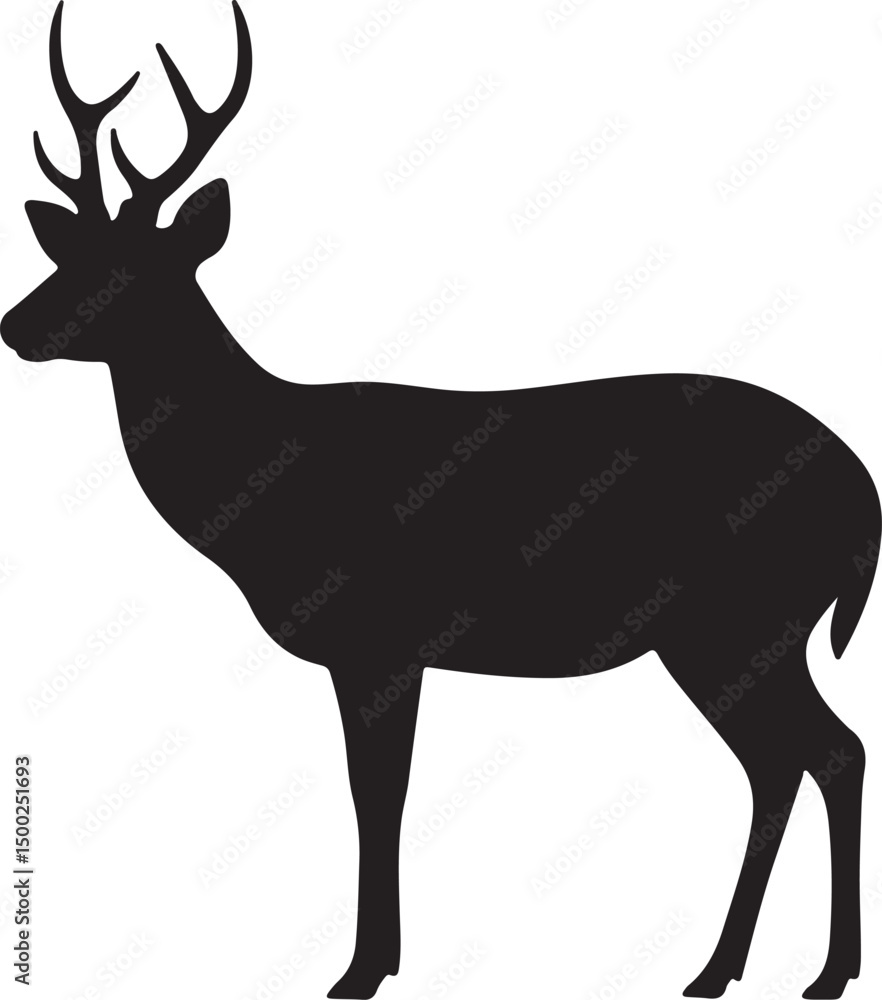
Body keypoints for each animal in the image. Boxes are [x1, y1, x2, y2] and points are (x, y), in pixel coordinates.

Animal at [1, 3, 878, 999]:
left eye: (137, 269)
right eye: (70, 253)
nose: (16, 326)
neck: (268, 485)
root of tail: (864, 497)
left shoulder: (378, 639)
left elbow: (377, 794)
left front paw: (360, 971)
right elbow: (379, 793)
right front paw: (374, 962)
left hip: (739, 618)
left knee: (821, 751)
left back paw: (805, 971)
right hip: (739, 633)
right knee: (797, 758)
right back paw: (735, 968)